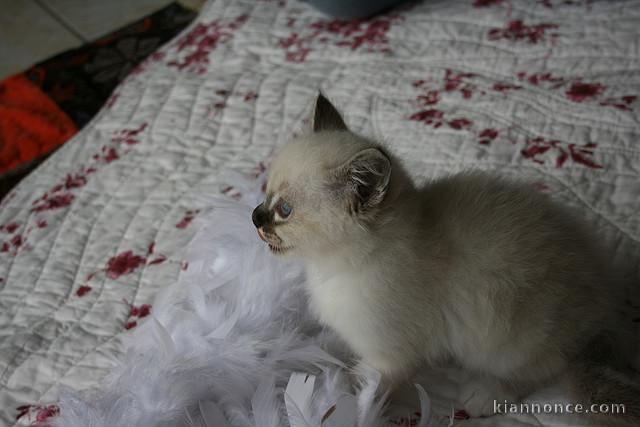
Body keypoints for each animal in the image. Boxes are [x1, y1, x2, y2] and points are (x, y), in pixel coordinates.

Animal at [252, 94, 636, 424]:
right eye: (265, 192)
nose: (255, 217)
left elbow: (362, 384)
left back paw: (484, 394)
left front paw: (330, 403)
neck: (335, 266)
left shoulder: (388, 355)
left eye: (284, 211)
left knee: (541, 370)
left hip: (509, 337)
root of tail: (603, 309)